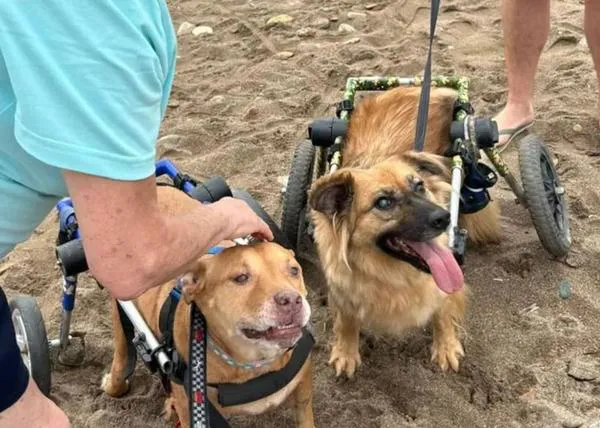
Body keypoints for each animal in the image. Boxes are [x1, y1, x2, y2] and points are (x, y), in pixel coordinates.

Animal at [101, 186, 316, 426]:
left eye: (294, 270)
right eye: (241, 278)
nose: (291, 300)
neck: (255, 365)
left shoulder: (303, 392)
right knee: (121, 354)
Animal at [308, 86, 500, 378]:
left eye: (419, 186)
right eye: (383, 202)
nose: (444, 218)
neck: (391, 273)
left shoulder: (446, 282)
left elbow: (443, 312)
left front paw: (446, 346)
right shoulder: (343, 289)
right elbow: (346, 321)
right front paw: (346, 351)